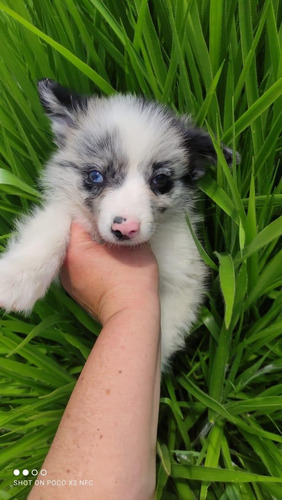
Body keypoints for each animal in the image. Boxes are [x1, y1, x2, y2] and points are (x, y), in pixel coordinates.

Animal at [0, 80, 235, 370]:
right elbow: (52, 224)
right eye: (95, 175)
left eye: (161, 180)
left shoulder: (185, 277)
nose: (125, 229)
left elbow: (166, 328)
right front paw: (18, 278)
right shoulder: (65, 210)